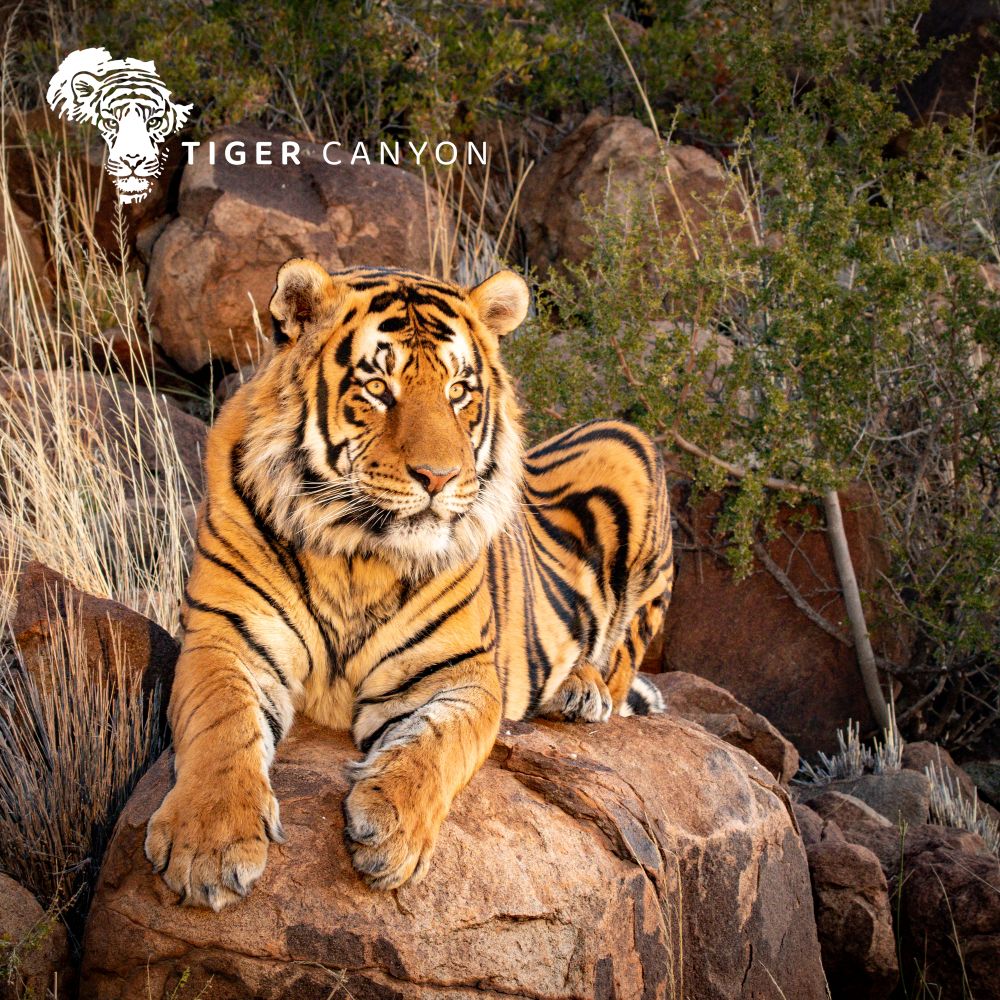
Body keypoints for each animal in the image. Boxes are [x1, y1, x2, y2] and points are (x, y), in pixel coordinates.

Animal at [144, 258, 674, 909]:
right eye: (377, 387)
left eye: (459, 391)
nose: (439, 477)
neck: (358, 553)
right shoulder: (226, 636)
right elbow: (223, 725)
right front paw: (209, 846)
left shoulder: (459, 671)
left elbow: (436, 744)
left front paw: (391, 832)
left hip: (631, 444)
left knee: (620, 662)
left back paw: (580, 691)